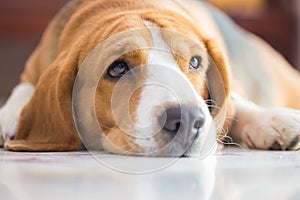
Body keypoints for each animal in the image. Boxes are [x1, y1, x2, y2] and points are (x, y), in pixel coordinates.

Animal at [0, 0, 300, 156]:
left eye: (195, 62)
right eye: (118, 68)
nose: (187, 119)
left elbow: (234, 103)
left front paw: (270, 120)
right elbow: (24, 88)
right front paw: (9, 117)